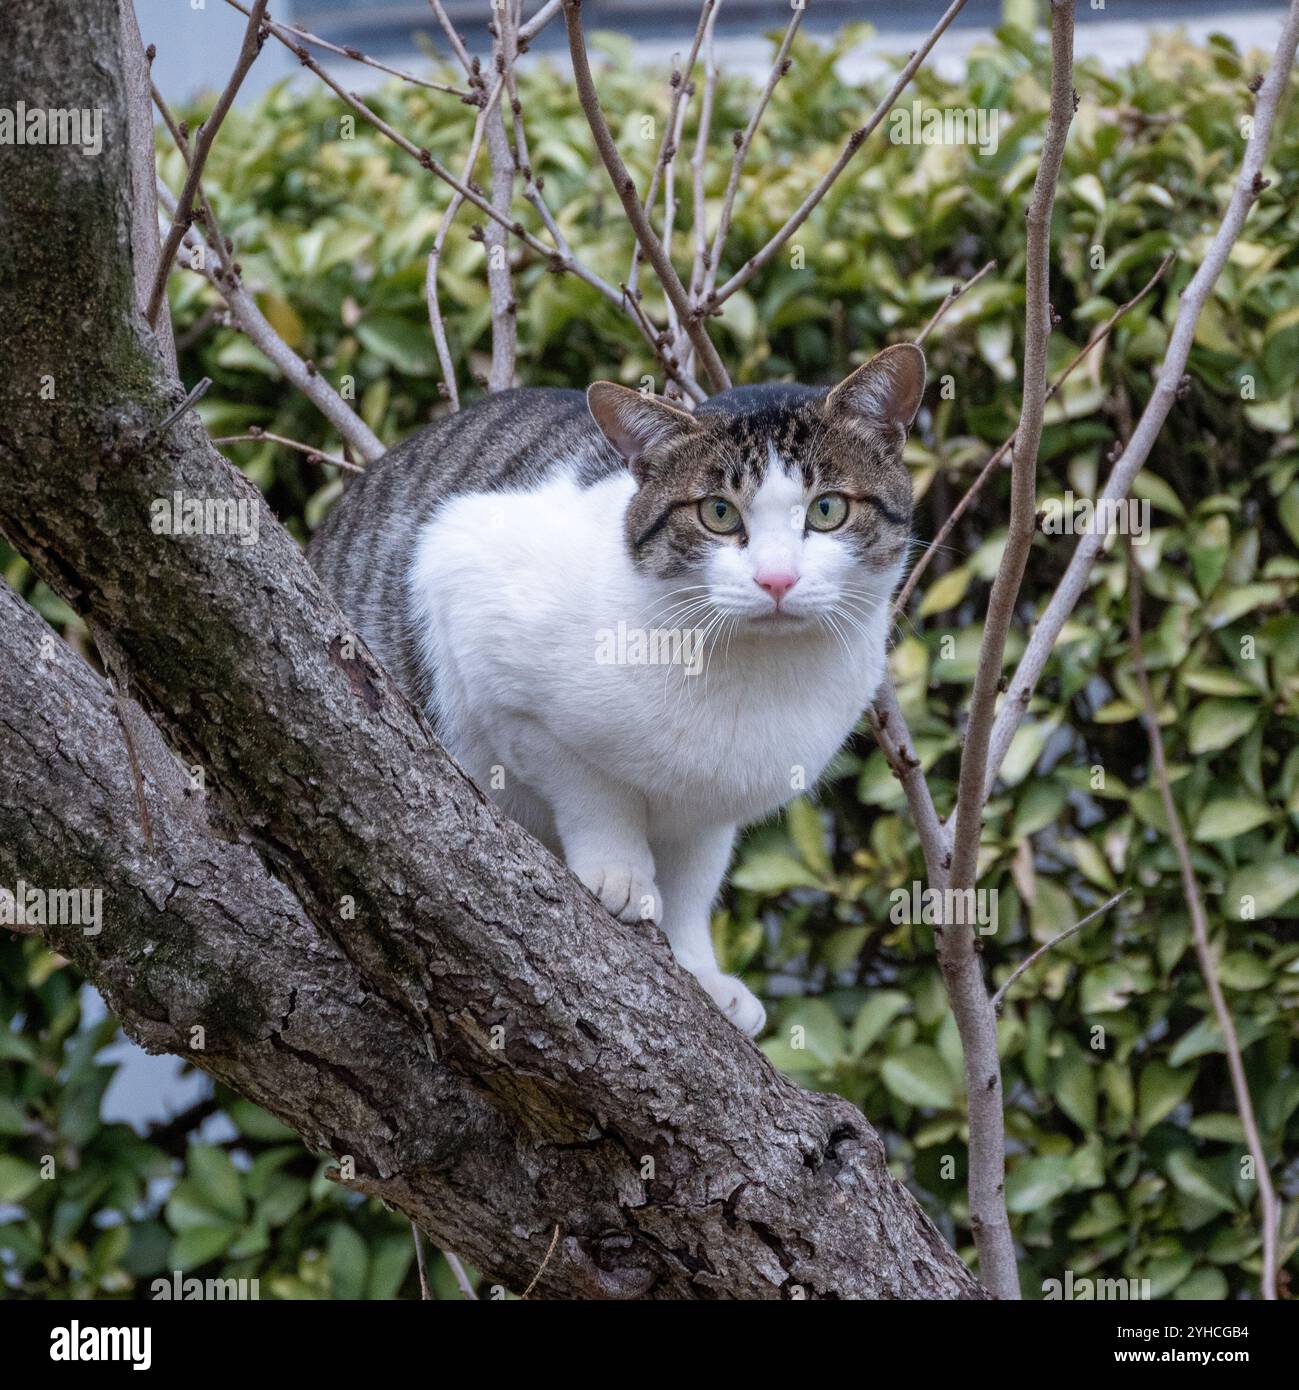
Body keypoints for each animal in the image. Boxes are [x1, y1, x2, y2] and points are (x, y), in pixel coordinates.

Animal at [311, 344, 922, 1034]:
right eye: (718, 513)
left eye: (827, 510)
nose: (776, 580)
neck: (753, 672)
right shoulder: (478, 624)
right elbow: (591, 789)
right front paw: (619, 874)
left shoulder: (711, 808)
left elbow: (693, 884)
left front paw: (699, 970)